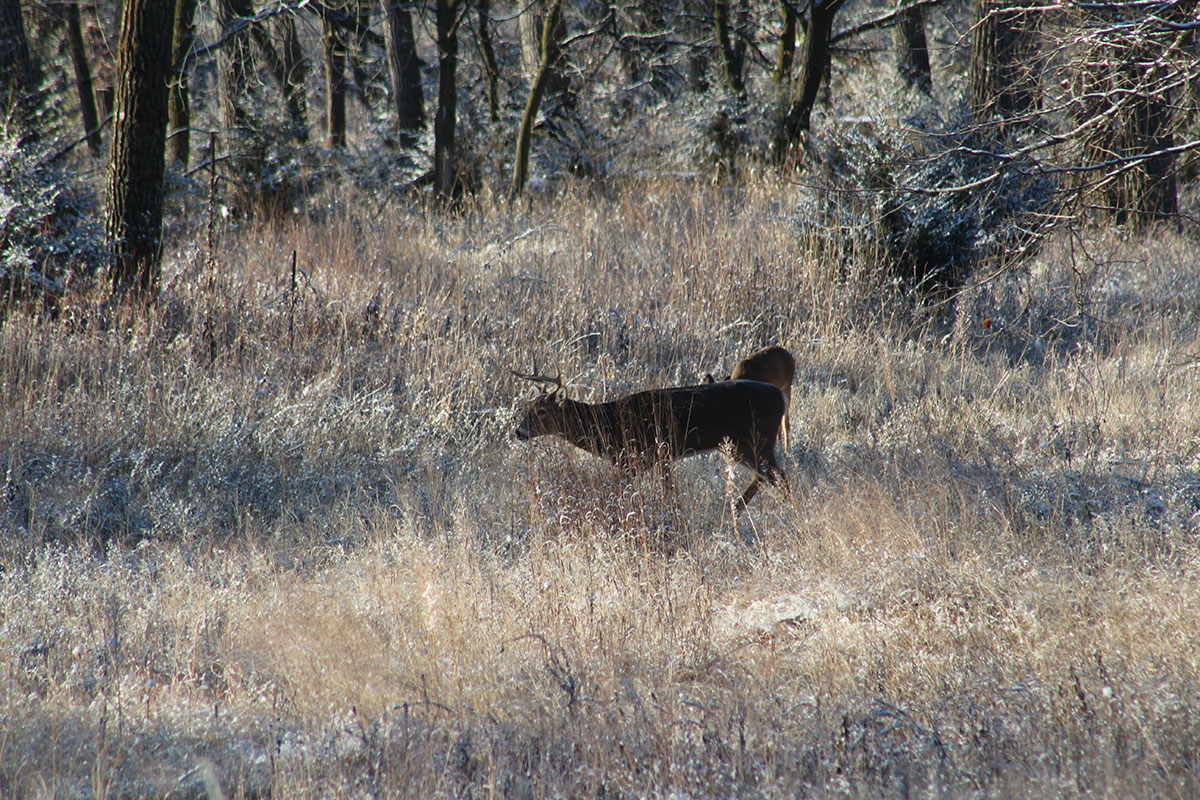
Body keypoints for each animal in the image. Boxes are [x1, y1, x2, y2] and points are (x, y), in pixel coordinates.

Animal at [512, 367, 788, 509]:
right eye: (527, 407)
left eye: (541, 411)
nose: (519, 431)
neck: (607, 423)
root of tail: (780, 396)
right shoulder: (659, 456)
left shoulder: (636, 456)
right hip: (739, 445)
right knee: (764, 476)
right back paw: (734, 509)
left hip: (755, 439)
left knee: (778, 476)